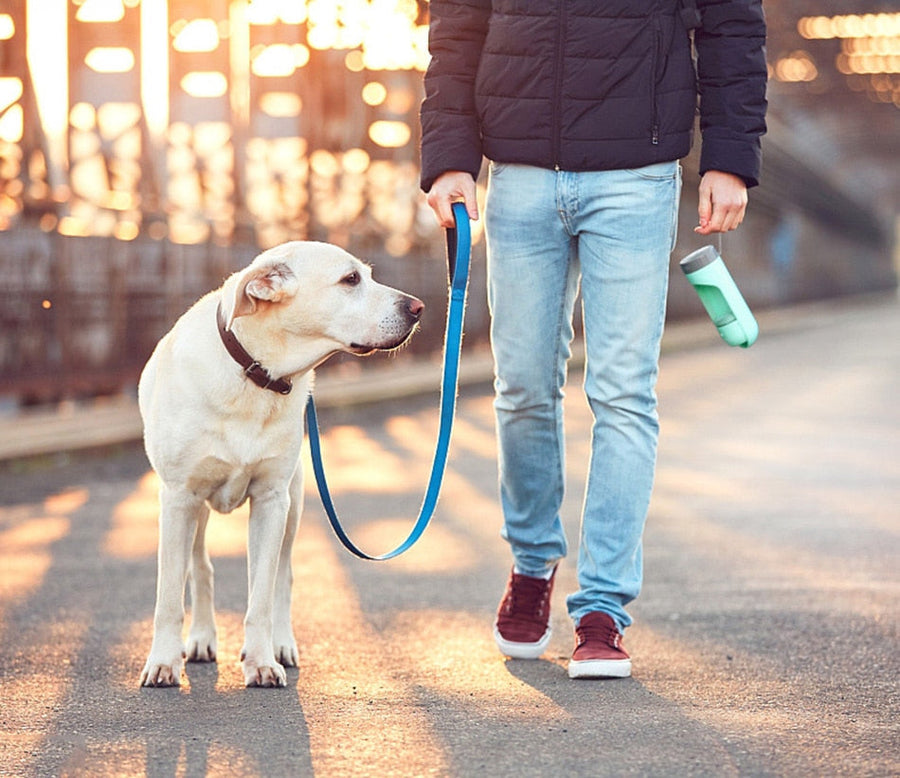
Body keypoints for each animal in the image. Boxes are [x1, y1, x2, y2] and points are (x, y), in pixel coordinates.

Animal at [138, 242, 426, 684]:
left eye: (367, 275)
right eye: (351, 280)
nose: (418, 307)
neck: (256, 374)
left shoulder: (272, 501)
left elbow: (261, 595)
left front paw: (260, 660)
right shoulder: (178, 499)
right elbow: (168, 596)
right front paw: (163, 662)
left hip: (293, 504)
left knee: (282, 578)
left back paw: (281, 643)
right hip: (195, 511)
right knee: (200, 568)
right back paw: (202, 638)